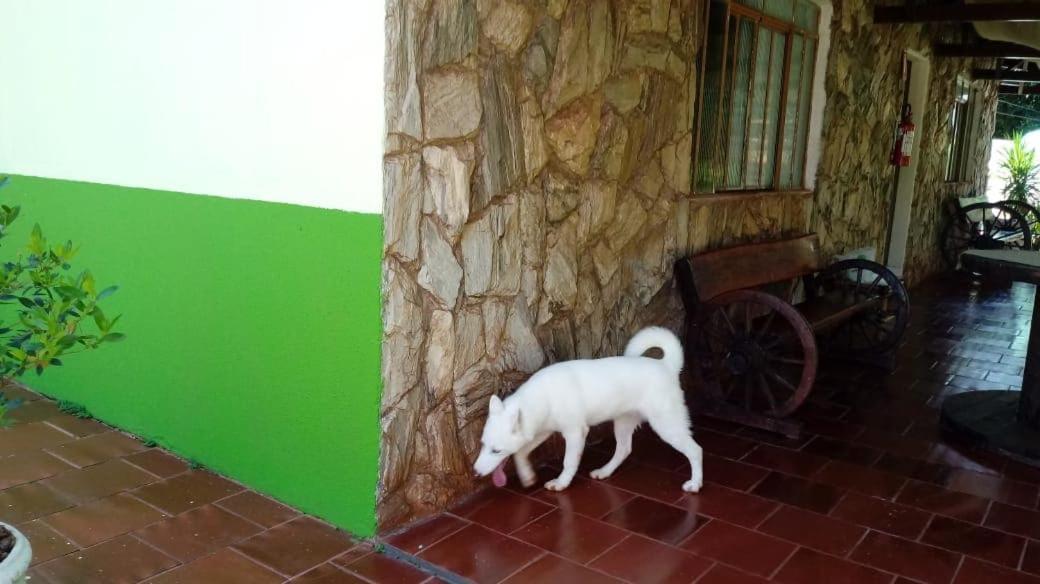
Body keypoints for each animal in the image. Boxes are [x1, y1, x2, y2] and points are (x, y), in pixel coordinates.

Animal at [474, 324, 703, 488]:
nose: (475, 473)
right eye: (483, 445)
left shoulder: (575, 433)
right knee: (624, 449)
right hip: (623, 422)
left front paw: (561, 483)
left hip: (667, 425)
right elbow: (520, 453)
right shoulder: (542, 431)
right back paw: (605, 471)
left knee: (696, 450)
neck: (542, 397)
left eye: (496, 451)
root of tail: (667, 366)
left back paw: (695, 484)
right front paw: (527, 476)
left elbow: (568, 462)